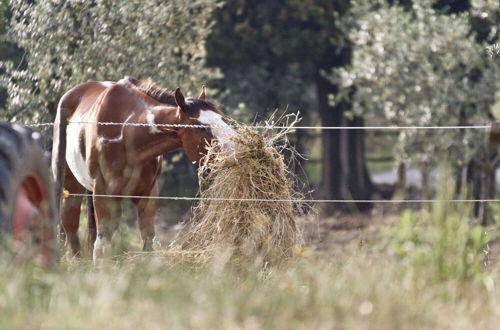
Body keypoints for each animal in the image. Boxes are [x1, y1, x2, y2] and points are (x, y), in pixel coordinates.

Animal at [51, 77, 235, 258]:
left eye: (222, 120)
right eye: (202, 127)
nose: (235, 148)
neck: (127, 132)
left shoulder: (149, 193)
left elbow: (148, 240)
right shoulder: (104, 193)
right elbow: (102, 244)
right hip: (71, 187)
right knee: (71, 229)